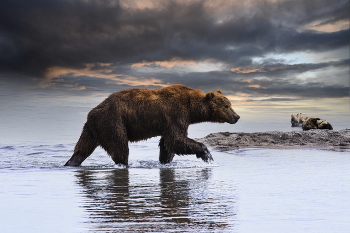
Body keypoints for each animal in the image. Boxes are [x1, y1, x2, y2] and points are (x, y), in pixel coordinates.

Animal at [64, 83, 241, 166]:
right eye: (226, 106)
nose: (237, 116)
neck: (192, 109)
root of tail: (92, 112)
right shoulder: (176, 114)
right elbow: (176, 140)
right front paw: (206, 154)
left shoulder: (170, 122)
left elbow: (167, 144)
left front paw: (165, 161)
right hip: (112, 121)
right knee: (120, 147)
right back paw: (124, 163)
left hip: (92, 129)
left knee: (82, 149)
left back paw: (71, 162)